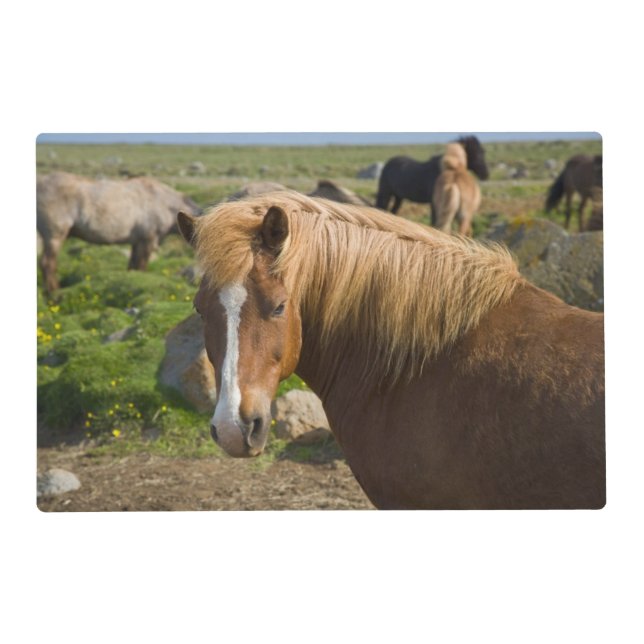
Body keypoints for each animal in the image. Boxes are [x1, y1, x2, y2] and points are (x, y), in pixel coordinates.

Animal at [37, 172, 201, 293]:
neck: (166, 204)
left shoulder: (136, 242)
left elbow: (132, 268)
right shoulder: (147, 241)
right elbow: (141, 268)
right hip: (55, 236)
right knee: (47, 264)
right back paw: (54, 293)